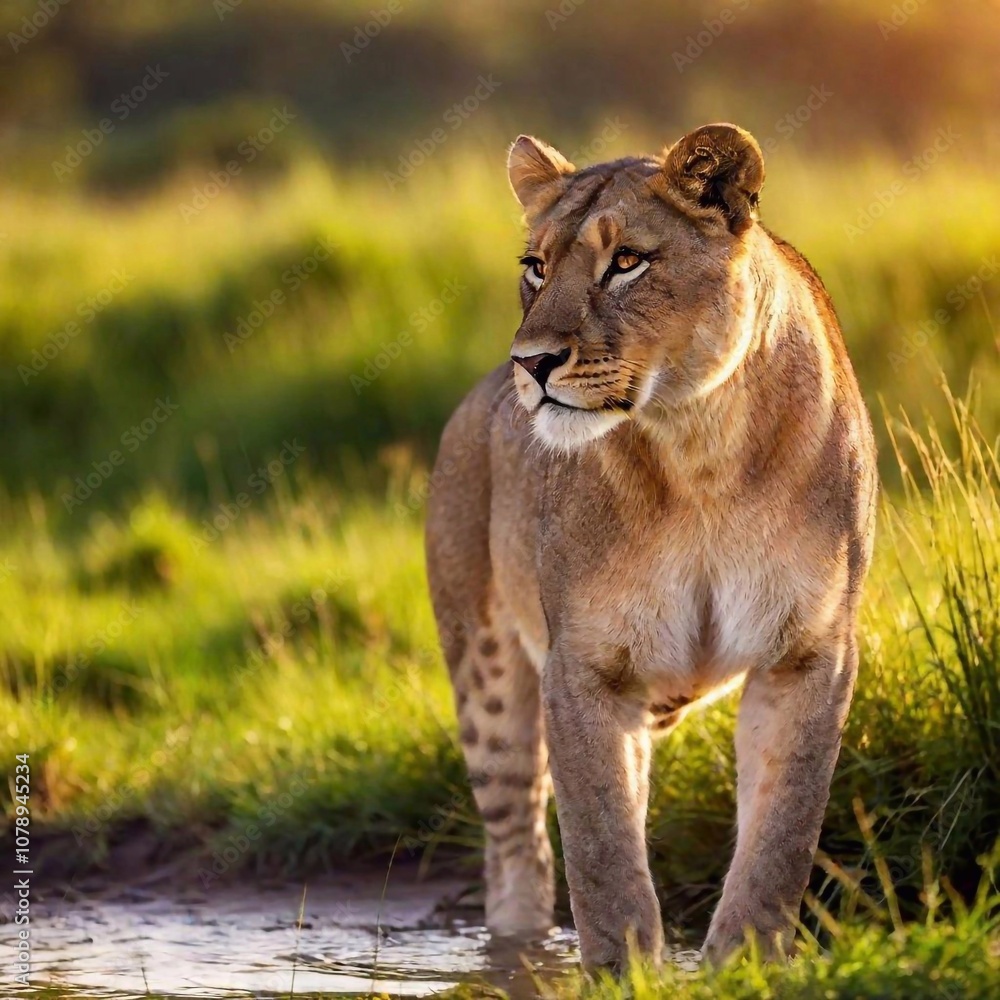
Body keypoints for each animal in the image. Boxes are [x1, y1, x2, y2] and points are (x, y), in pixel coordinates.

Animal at [425, 123, 877, 971]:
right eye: (536, 267)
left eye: (627, 261)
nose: (532, 363)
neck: (698, 449)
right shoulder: (583, 665)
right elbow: (602, 851)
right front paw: (623, 971)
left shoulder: (809, 654)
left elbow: (781, 835)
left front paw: (745, 964)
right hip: (488, 680)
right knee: (518, 850)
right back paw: (518, 956)